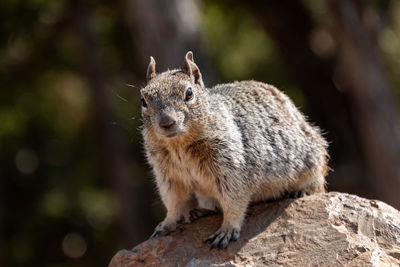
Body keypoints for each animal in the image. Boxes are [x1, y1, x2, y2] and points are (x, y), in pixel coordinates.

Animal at [141, 51, 328, 249]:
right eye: (143, 100)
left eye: (189, 93)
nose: (166, 123)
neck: (179, 145)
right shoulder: (167, 175)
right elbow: (174, 203)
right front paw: (166, 225)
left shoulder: (231, 167)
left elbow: (234, 201)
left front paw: (226, 231)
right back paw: (201, 211)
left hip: (313, 160)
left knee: (316, 183)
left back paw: (301, 191)